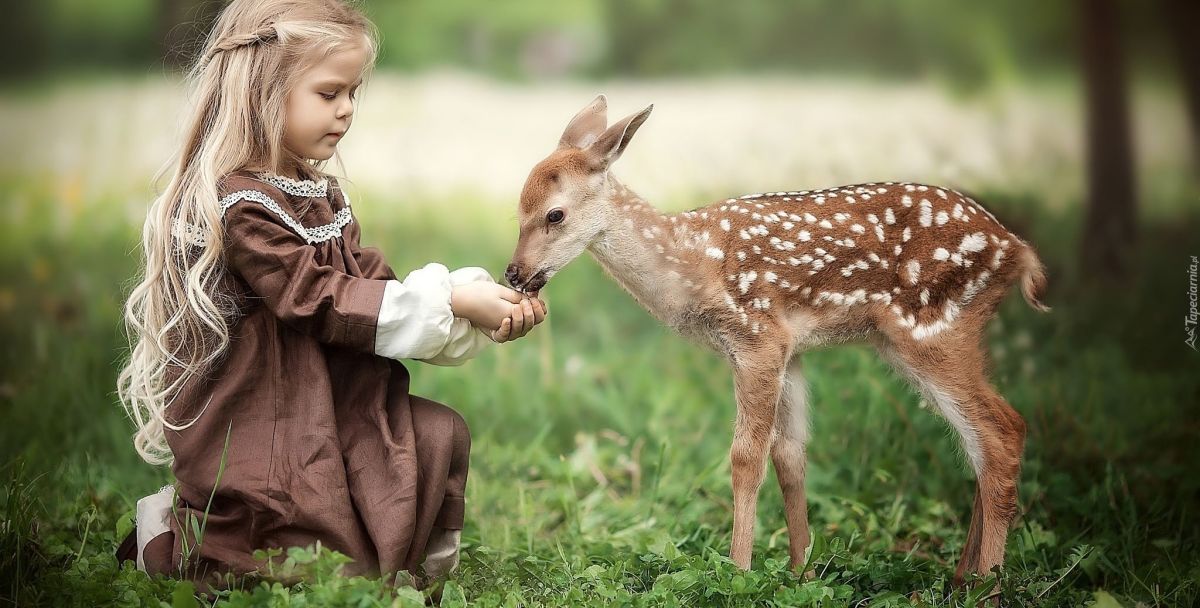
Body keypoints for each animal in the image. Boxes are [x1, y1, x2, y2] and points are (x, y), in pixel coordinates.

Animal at [506, 96, 1051, 590]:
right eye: (518, 211)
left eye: (554, 215)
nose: (514, 274)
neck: (691, 263)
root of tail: (1017, 251)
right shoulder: (791, 349)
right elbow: (790, 456)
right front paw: (800, 570)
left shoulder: (757, 337)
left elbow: (746, 457)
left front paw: (738, 571)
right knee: (984, 439)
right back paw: (962, 577)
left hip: (934, 328)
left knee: (1001, 432)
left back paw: (989, 585)